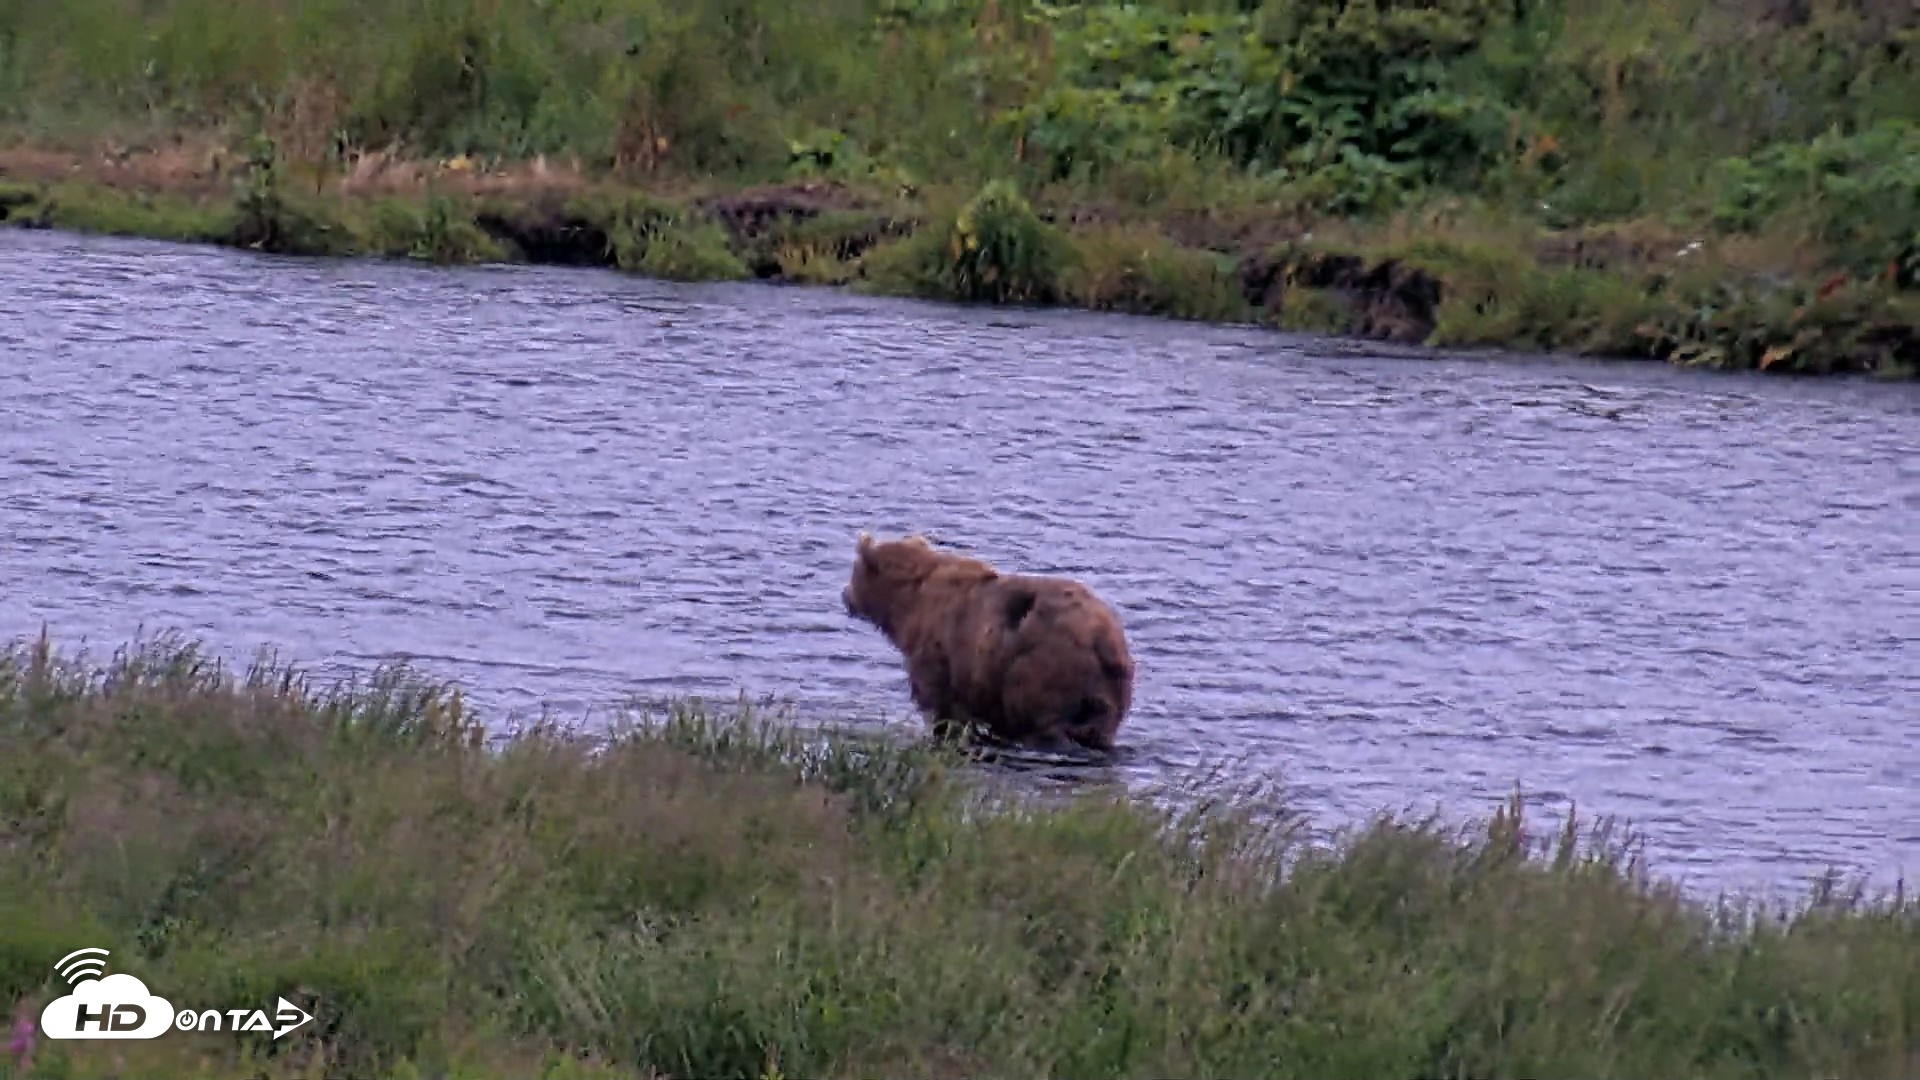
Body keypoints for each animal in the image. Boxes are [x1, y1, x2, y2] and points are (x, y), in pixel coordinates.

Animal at [840, 531, 1135, 755]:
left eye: (853, 570)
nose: (844, 595)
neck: (908, 603)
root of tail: (1101, 638)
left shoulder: (939, 652)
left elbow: (940, 706)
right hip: (1108, 690)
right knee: (1097, 729)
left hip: (1041, 666)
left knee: (1035, 716)